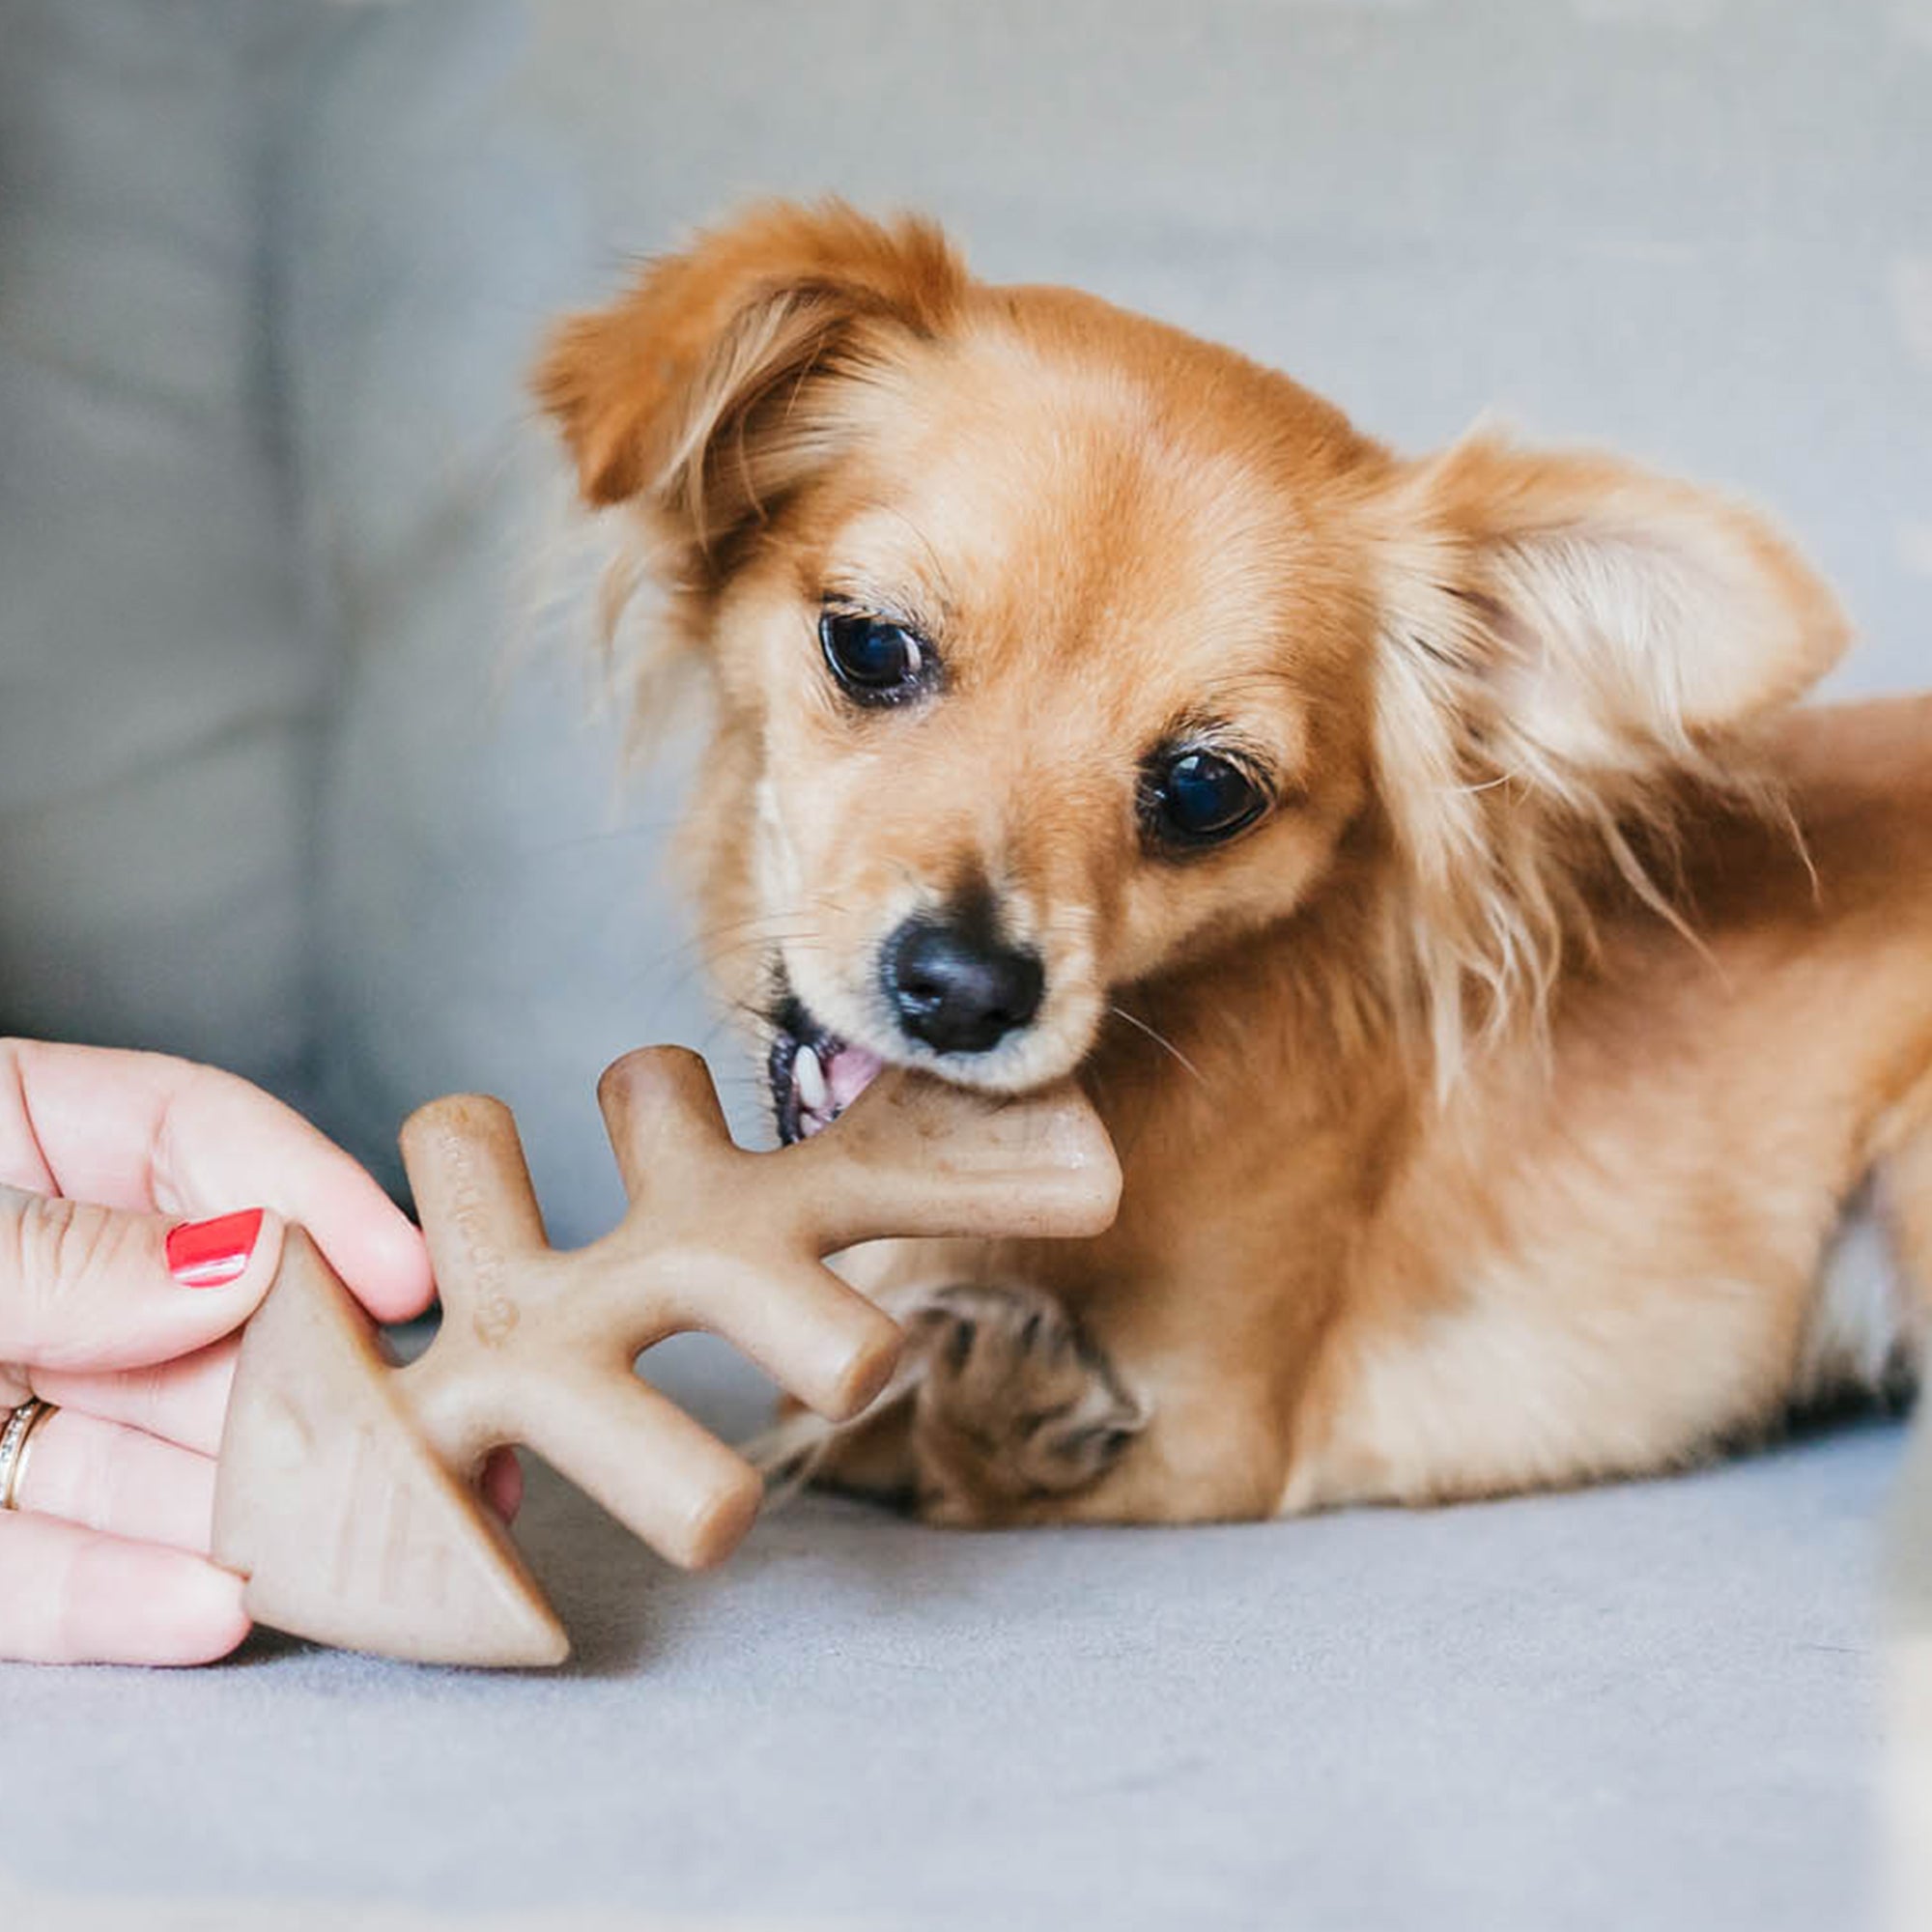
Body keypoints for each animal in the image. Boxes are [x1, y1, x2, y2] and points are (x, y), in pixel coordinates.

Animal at [533, 196, 1932, 1522]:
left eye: (1205, 791)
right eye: (869, 646)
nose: (969, 990)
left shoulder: (1225, 1444)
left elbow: (917, 1451)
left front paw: (1001, 1408)